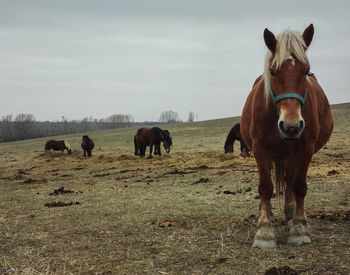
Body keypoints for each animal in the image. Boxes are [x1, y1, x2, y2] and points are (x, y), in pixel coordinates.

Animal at [241, 24, 334, 250]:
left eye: (306, 71)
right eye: (273, 71)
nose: (291, 126)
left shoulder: (305, 149)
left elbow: (299, 186)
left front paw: (300, 228)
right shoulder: (260, 150)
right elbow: (265, 187)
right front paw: (264, 231)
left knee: (290, 180)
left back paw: (291, 214)